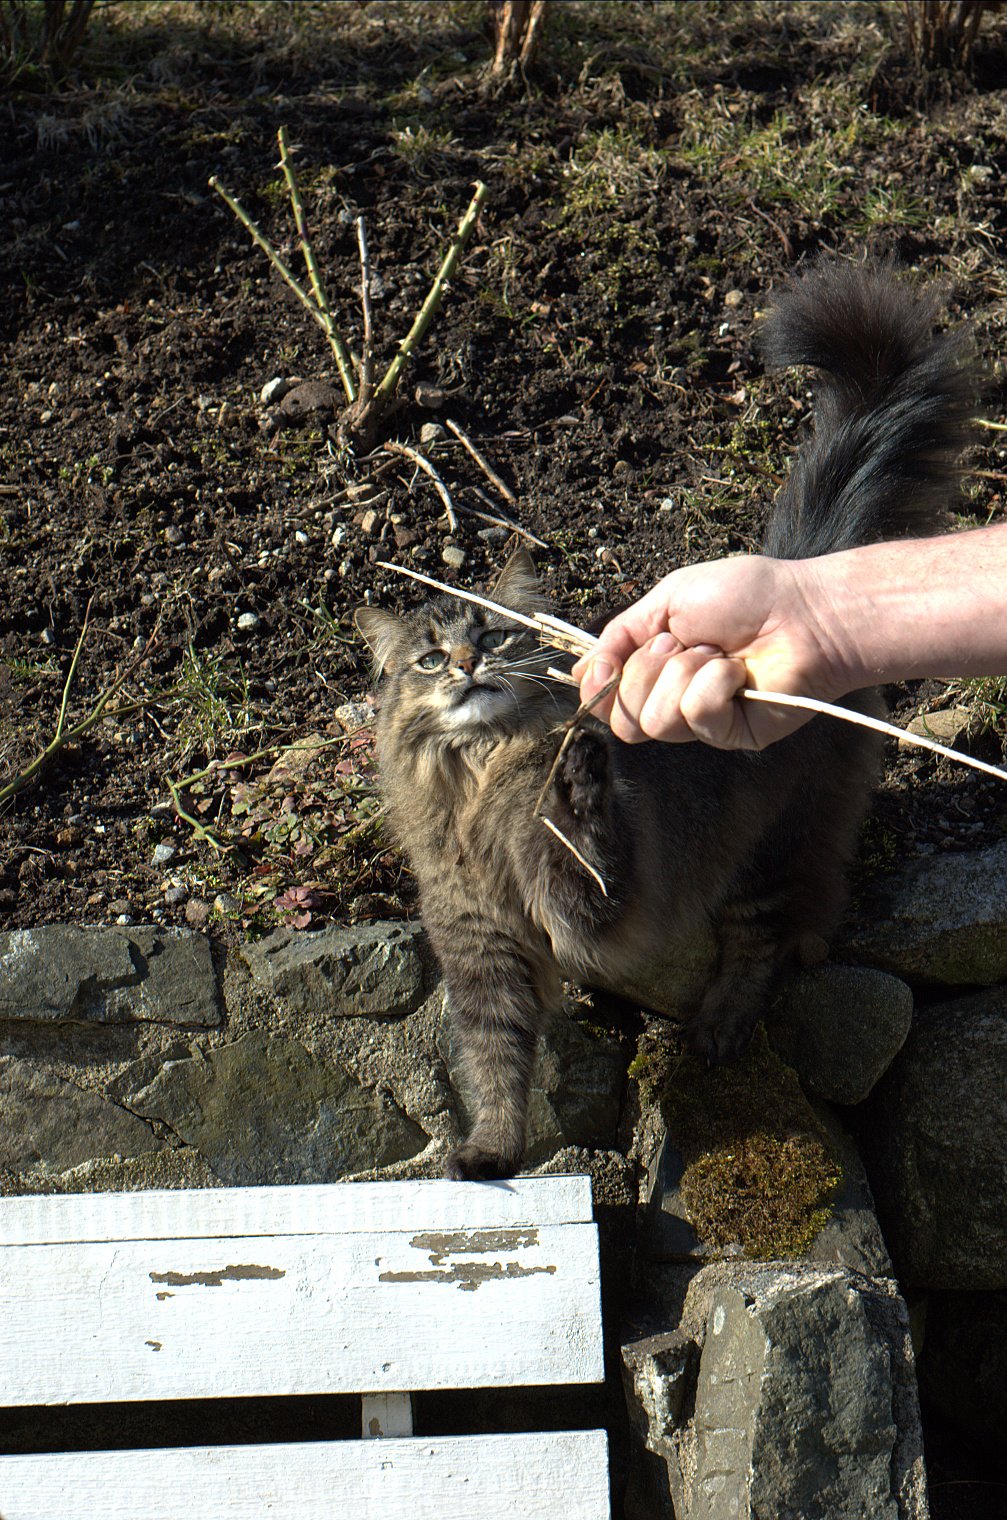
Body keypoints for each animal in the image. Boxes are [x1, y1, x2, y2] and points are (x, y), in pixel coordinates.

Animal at [356, 259, 976, 1182]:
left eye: (494, 636)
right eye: (430, 659)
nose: (467, 664)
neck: (478, 777)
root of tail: (804, 567)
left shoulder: (584, 897)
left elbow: (583, 848)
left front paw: (578, 773)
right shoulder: (481, 945)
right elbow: (494, 1064)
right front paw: (489, 1155)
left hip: (770, 846)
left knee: (764, 942)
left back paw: (716, 1030)